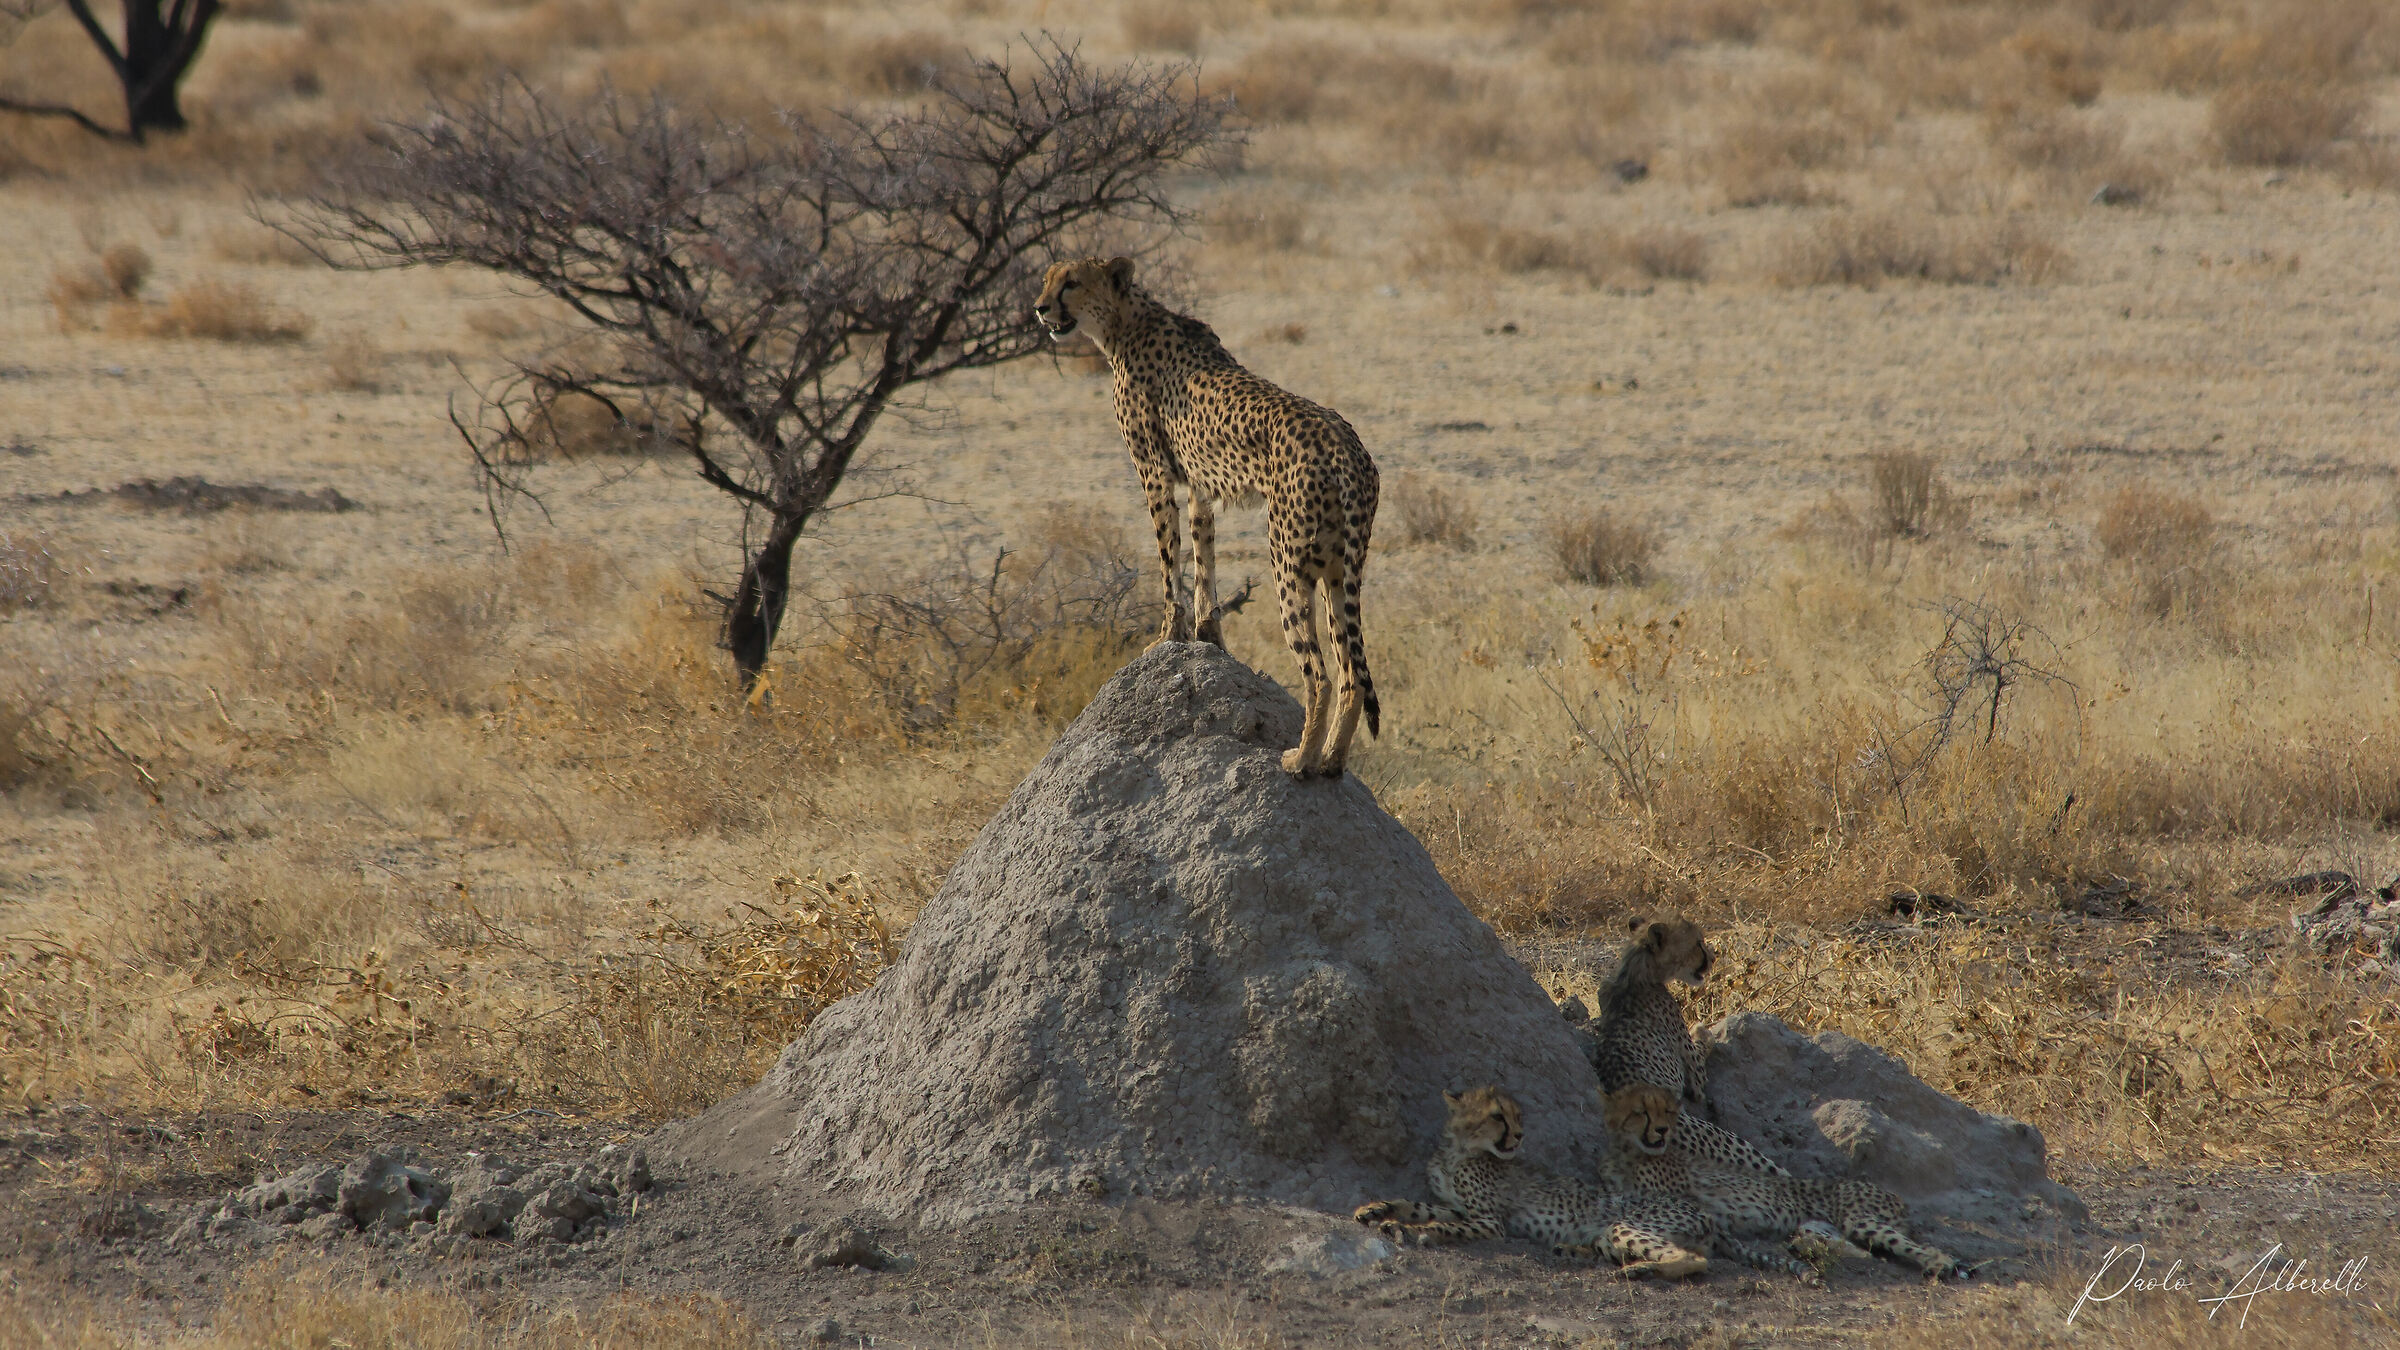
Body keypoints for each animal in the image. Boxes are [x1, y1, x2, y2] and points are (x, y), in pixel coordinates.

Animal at [1033, 256, 1380, 778]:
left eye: (1071, 282)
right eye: (1047, 279)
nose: (1039, 308)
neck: (1124, 323)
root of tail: (1345, 443)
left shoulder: (1154, 474)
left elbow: (1168, 564)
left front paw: (1166, 638)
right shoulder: (1199, 485)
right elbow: (1203, 558)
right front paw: (1208, 636)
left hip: (1287, 558)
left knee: (1317, 671)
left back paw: (1300, 759)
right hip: (1339, 569)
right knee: (1350, 671)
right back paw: (1331, 762)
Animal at [1350, 1086, 1814, 1282]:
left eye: (1517, 1118)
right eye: (1499, 1117)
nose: (1520, 1137)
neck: (1460, 1149)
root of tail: (1705, 1213)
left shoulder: (1489, 1221)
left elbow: (1444, 1225)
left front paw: (1413, 1230)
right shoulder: (1454, 1203)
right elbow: (1414, 1203)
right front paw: (1377, 1209)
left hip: (1624, 1224)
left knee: (1694, 1259)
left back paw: (1642, 1269)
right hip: (1613, 1233)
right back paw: (1575, 1250)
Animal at [1588, 916, 1788, 1179]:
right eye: (1697, 943)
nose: (1713, 957)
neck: (1636, 969)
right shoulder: (1695, 1075)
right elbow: (1702, 1049)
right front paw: (1703, 1029)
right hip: (1725, 1141)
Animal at [1601, 1082, 1968, 1282]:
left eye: (1665, 1111)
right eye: (1642, 1111)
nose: (1663, 1129)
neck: (1628, 1149)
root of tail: (1896, 1197)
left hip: (1861, 1218)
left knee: (1922, 1248)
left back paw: (1941, 1264)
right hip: (1818, 1226)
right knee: (1859, 1251)